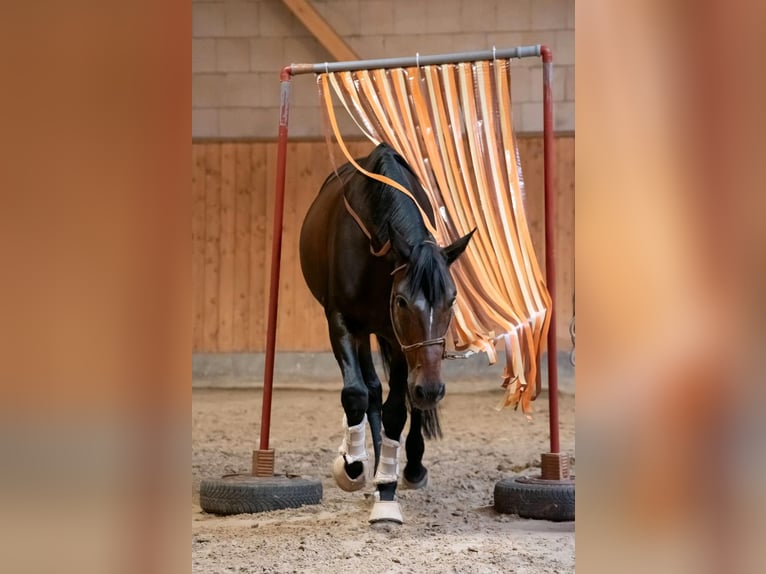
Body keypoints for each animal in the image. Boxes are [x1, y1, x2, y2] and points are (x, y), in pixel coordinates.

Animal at [300, 145, 474, 528]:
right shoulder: (342, 322)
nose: (432, 389)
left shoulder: (400, 343)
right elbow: (355, 394)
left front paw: (388, 490)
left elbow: (398, 409)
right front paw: (352, 467)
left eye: (452, 299)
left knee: (400, 398)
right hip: (365, 332)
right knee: (370, 390)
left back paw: (408, 467)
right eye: (402, 300)